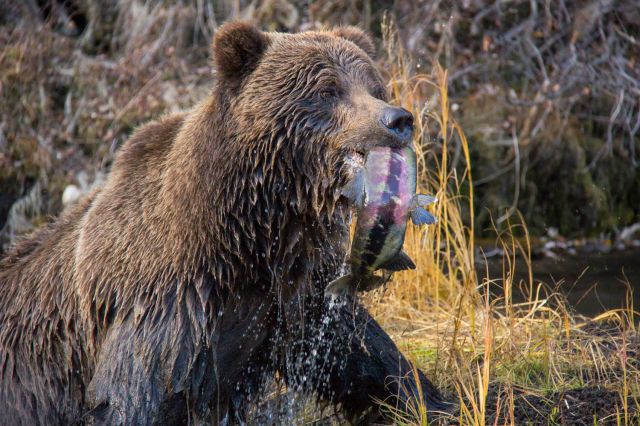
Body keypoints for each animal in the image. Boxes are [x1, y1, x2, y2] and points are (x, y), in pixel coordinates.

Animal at [0, 22, 450, 425]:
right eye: (328, 90)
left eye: (375, 87)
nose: (397, 120)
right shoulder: (166, 307)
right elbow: (129, 398)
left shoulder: (295, 295)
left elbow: (362, 351)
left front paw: (432, 401)